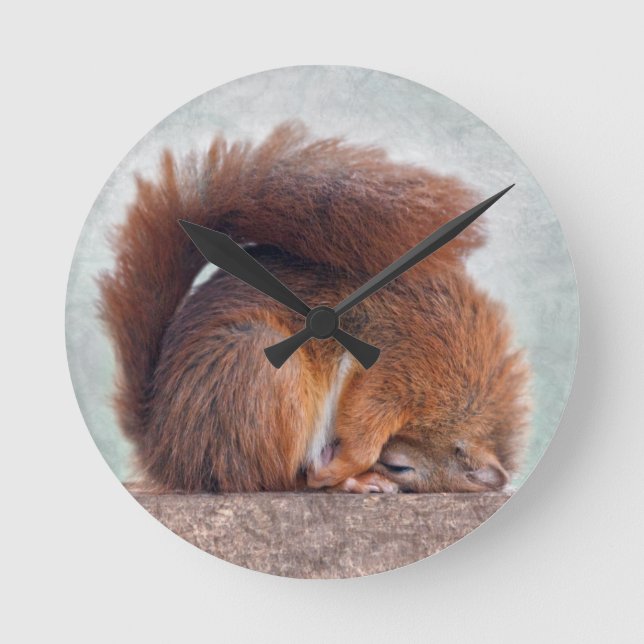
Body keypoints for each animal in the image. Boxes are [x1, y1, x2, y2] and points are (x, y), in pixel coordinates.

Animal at [99, 122, 530, 494]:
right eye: (400, 466)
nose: (387, 468)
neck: (463, 397)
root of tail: (166, 451)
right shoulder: (406, 365)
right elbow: (365, 418)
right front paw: (346, 466)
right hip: (259, 373)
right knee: (276, 480)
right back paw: (345, 479)